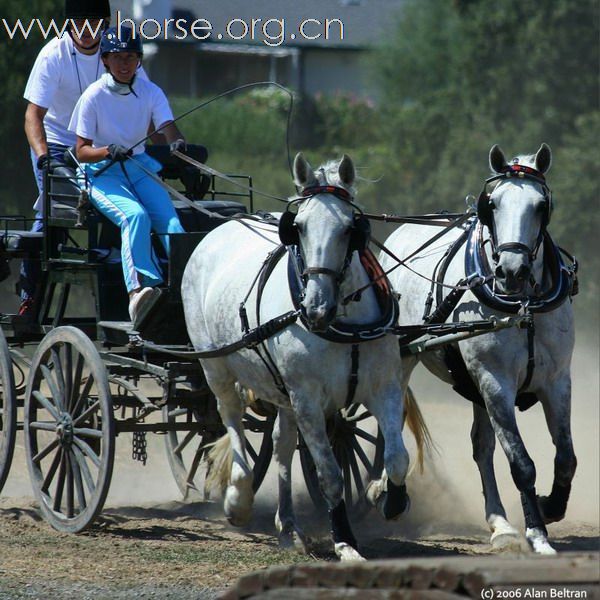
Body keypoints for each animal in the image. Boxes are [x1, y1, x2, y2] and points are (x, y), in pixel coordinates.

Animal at [183, 152, 422, 560]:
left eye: (350, 228)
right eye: (299, 227)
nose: (316, 309)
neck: (344, 321)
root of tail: (218, 230)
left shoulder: (384, 389)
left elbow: (397, 458)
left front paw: (389, 497)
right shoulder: (309, 400)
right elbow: (330, 475)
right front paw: (345, 541)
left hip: (283, 392)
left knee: (281, 445)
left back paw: (289, 527)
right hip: (215, 365)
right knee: (231, 419)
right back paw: (238, 499)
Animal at [380, 143, 576, 556]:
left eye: (541, 205)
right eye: (493, 204)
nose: (512, 272)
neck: (524, 305)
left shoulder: (556, 381)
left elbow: (566, 456)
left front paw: (551, 505)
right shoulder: (495, 381)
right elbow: (521, 462)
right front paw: (537, 533)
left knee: (482, 447)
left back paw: (499, 523)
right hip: (402, 358)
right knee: (390, 419)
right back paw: (389, 493)